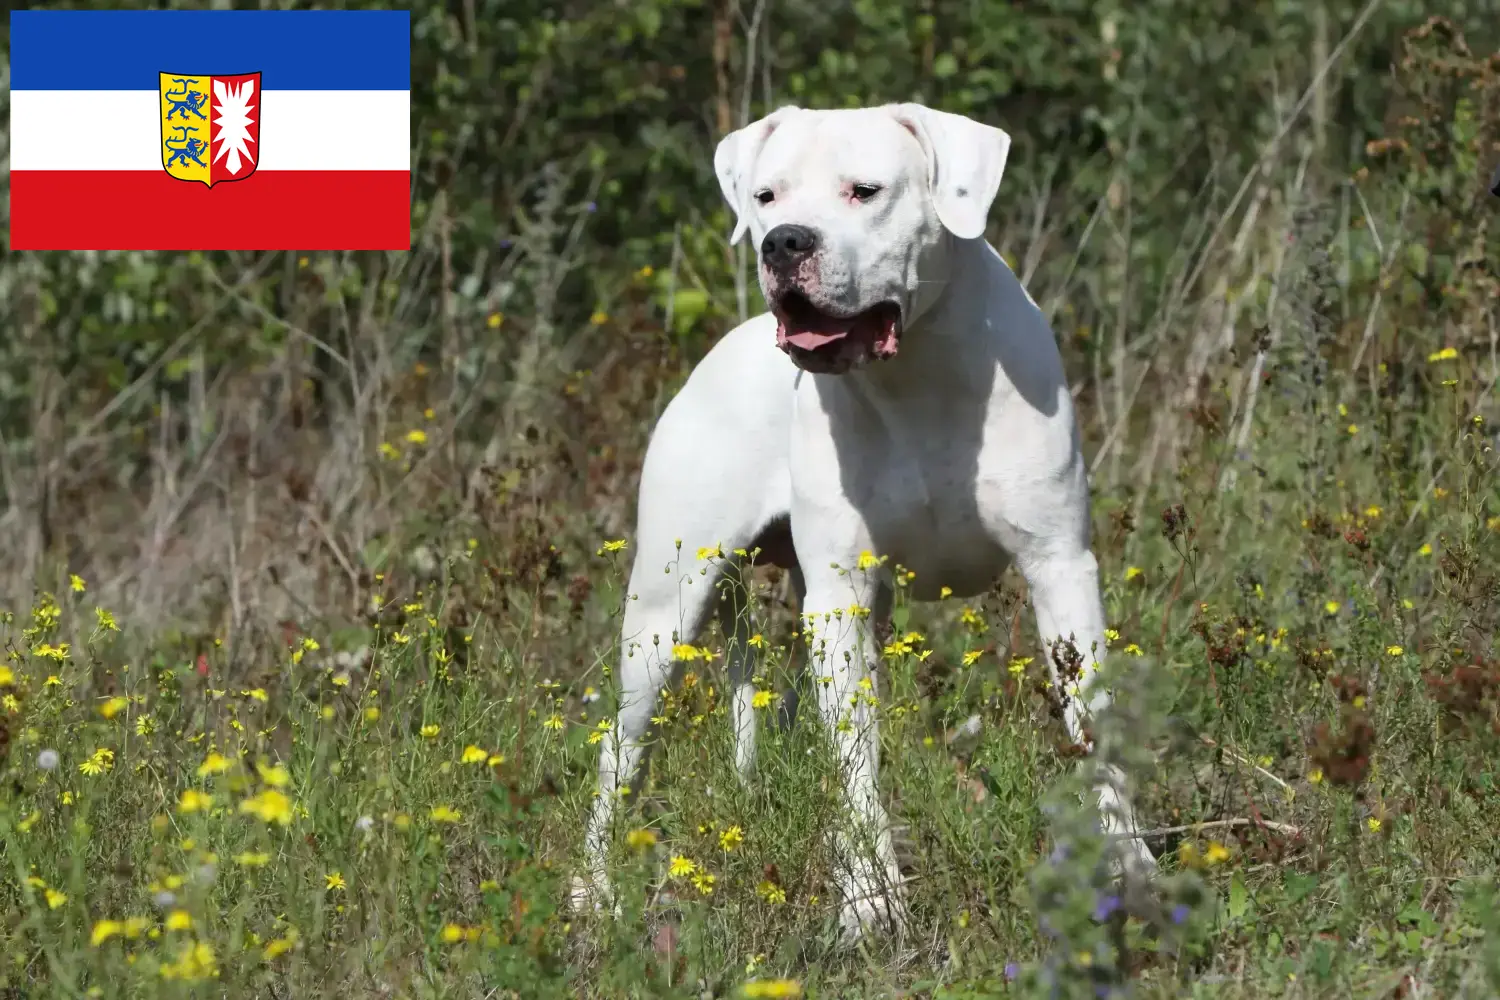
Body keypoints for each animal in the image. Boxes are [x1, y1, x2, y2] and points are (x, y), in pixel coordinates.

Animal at [576, 101, 1158, 941]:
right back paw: (593, 891)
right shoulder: (841, 599)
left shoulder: (1061, 571)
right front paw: (869, 900)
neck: (916, 373)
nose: (784, 242)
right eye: (766, 196)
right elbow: (856, 760)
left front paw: (1130, 873)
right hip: (662, 616)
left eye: (865, 191)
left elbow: (1094, 726)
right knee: (620, 754)